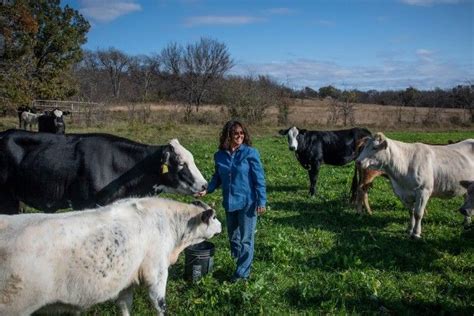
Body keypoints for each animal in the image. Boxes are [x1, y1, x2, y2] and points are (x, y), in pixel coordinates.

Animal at [0, 196, 222, 314]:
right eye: (214, 217)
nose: (221, 226)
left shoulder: (127, 279)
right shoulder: (156, 272)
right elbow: (160, 304)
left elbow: (124, 305)